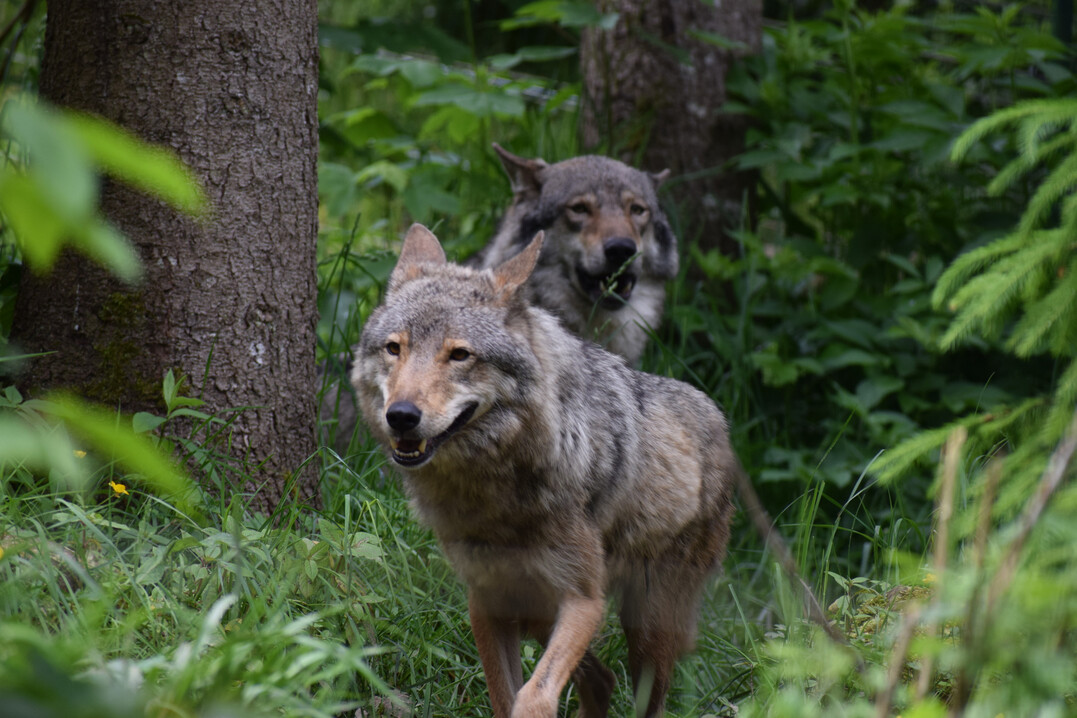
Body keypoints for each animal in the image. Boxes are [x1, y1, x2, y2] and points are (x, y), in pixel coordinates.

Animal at [351, 223, 739, 717]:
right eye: (394, 349)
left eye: (459, 355)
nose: (401, 415)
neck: (492, 494)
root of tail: (716, 416)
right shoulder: (488, 602)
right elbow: (506, 697)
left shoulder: (583, 600)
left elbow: (533, 697)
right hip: (538, 608)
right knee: (601, 678)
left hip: (647, 629)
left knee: (642, 698)